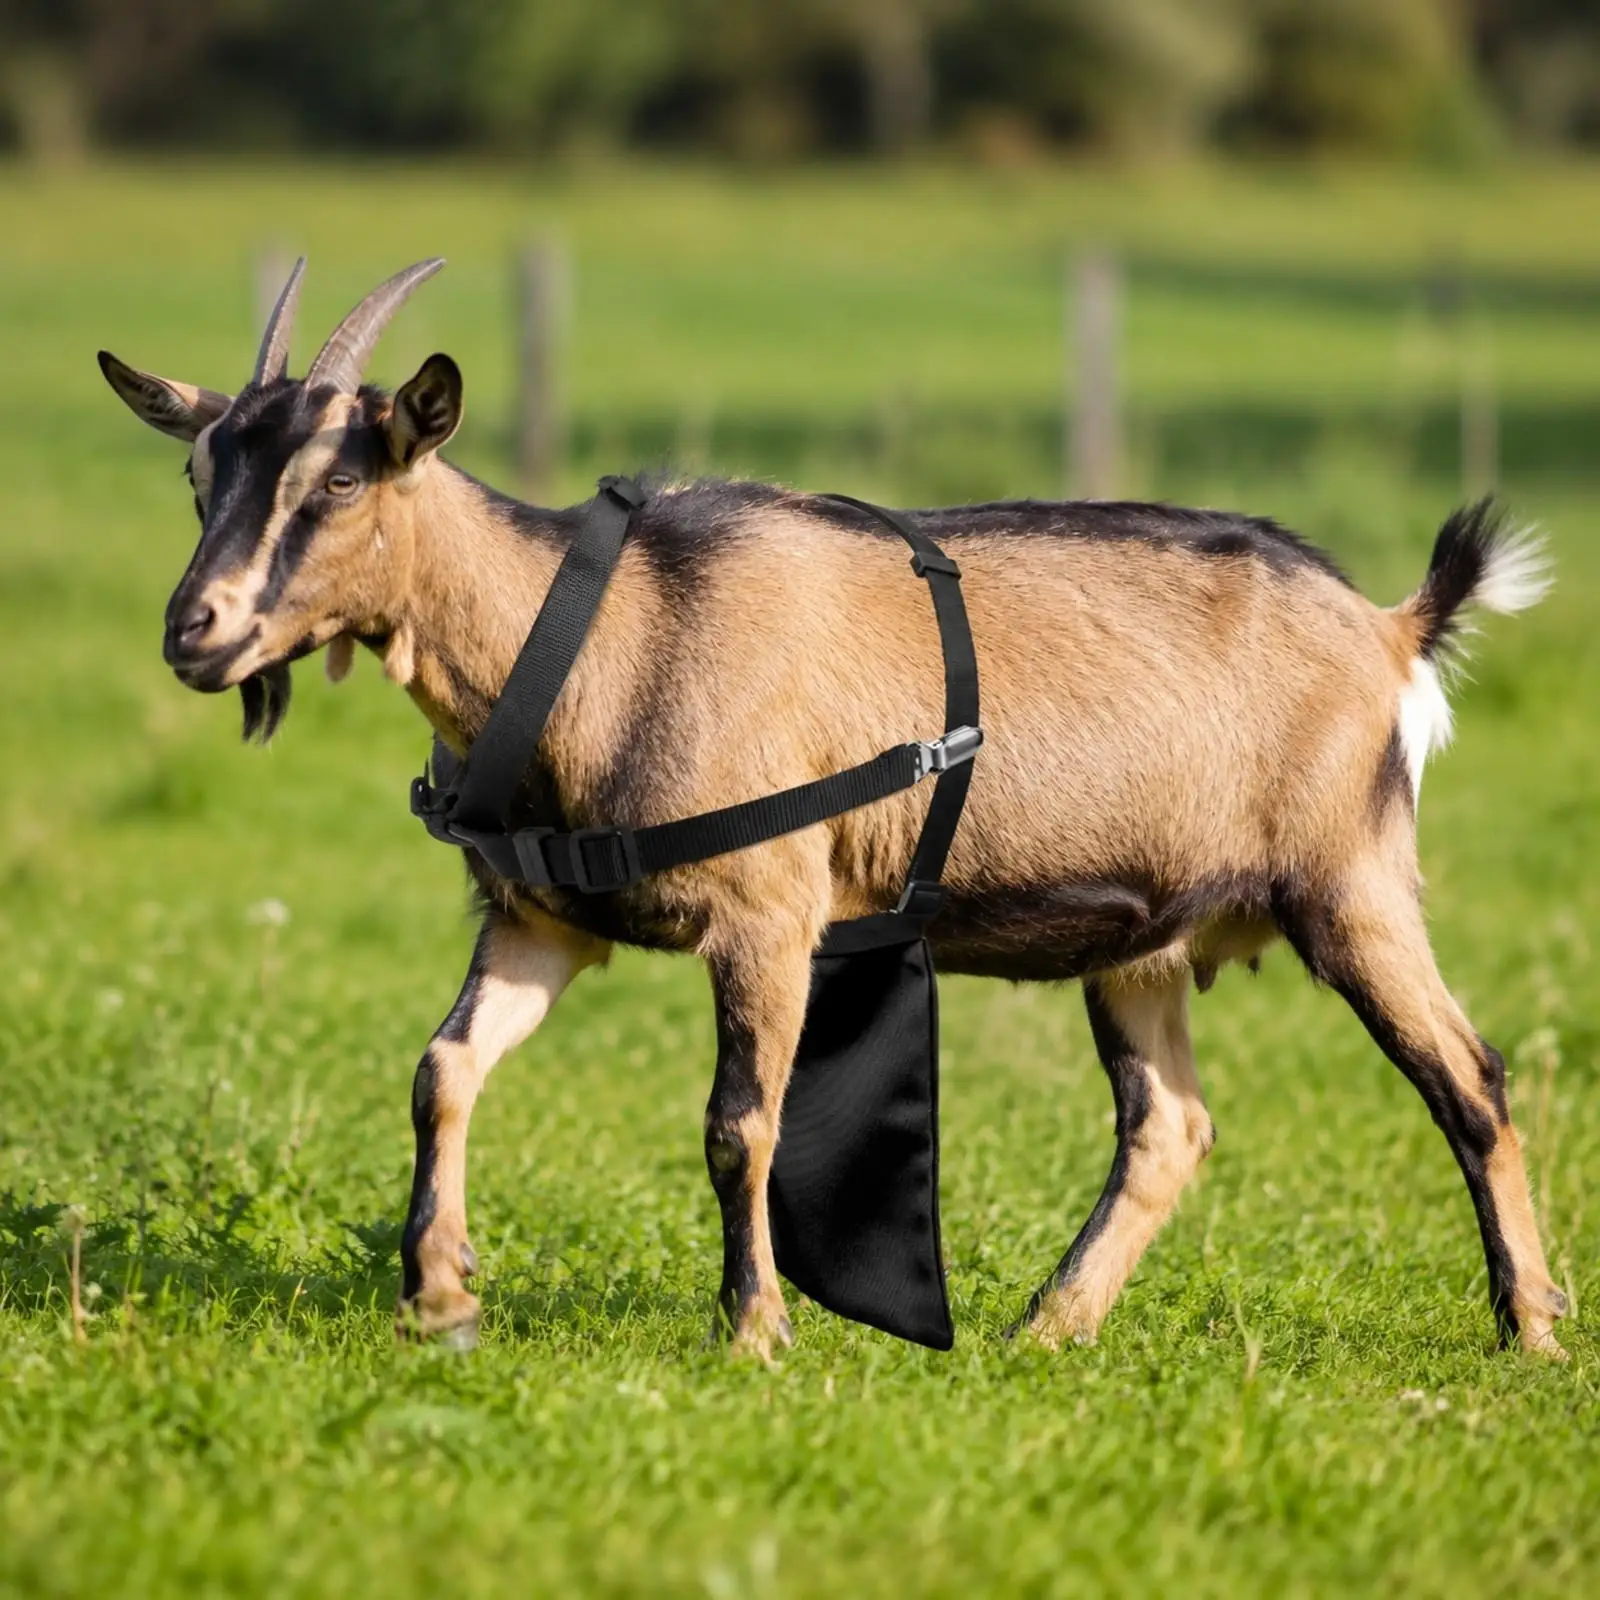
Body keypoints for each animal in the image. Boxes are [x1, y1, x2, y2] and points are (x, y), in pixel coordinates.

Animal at [98, 258, 1565, 1360]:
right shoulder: (539, 916)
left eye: (341, 479)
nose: (194, 630)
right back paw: (1048, 1326)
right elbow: (442, 1068)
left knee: (1470, 1079)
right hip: (1146, 942)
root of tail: (1389, 625)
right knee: (1168, 1127)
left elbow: (739, 1122)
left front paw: (753, 1328)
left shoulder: (770, 911)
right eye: (200, 479)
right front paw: (438, 1294)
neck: (597, 633)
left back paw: (1531, 1330)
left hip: (1350, 885)